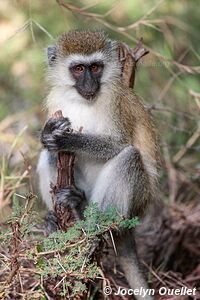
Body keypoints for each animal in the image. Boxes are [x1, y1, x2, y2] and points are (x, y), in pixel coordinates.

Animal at [37, 29, 158, 298]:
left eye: (95, 67)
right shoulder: (56, 98)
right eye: (79, 69)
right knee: (48, 156)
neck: (83, 100)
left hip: (137, 201)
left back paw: (92, 229)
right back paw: (66, 212)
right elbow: (48, 144)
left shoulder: (115, 100)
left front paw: (69, 139)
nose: (90, 84)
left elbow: (118, 144)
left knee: (129, 157)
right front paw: (47, 133)